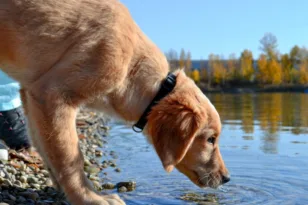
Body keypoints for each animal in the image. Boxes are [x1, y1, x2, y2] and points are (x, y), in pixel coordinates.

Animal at [0, 0, 230, 204]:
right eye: (211, 139)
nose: (227, 178)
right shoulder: (53, 95)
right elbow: (70, 159)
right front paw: (89, 197)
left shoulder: (32, 96)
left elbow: (46, 149)